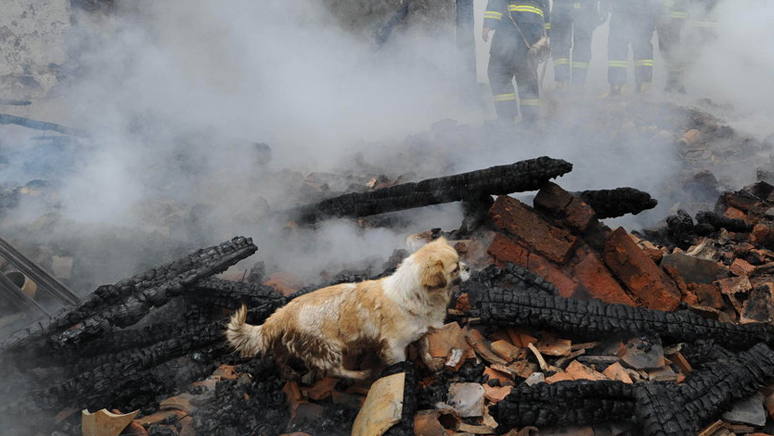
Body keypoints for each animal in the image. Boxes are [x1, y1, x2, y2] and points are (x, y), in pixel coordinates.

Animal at [223, 237, 466, 380]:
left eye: (460, 261)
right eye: (455, 269)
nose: (468, 267)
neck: (415, 295)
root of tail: (284, 313)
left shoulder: (420, 332)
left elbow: (424, 347)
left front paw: (431, 364)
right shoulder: (394, 347)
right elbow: (401, 362)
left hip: (288, 344)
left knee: (279, 357)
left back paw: (289, 373)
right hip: (328, 348)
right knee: (335, 371)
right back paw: (362, 374)